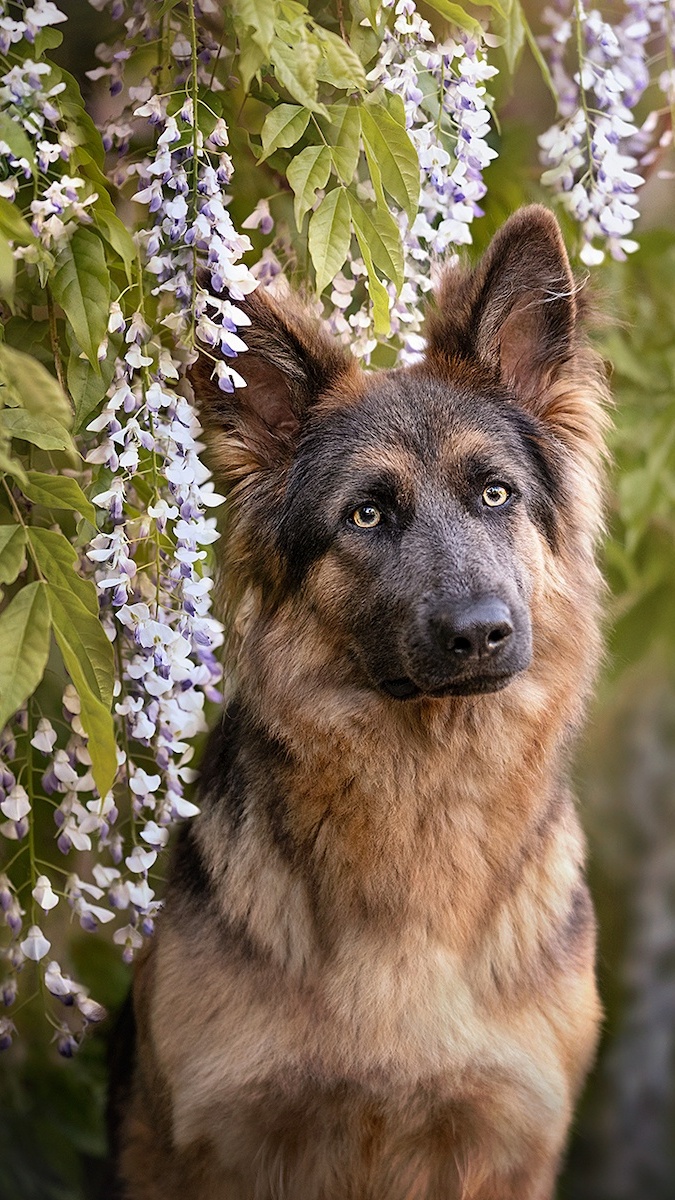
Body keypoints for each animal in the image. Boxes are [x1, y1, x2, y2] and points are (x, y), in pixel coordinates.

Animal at [112, 208, 607, 1200]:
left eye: (495, 493)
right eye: (365, 516)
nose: (480, 633)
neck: (422, 786)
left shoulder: (506, 1142)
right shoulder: (218, 1140)